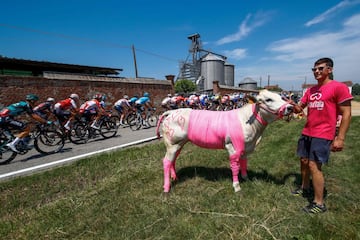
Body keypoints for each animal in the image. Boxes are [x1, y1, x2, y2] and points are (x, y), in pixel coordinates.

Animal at [156, 89, 294, 193]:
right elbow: (235, 166)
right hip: (172, 143)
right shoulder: (232, 146)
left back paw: (175, 177)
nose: (290, 107)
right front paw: (237, 187)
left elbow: (244, 162)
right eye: (268, 99)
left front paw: (246, 178)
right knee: (166, 161)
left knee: (173, 159)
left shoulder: (246, 147)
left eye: (281, 97)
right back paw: (166, 188)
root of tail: (172, 111)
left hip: (179, 143)